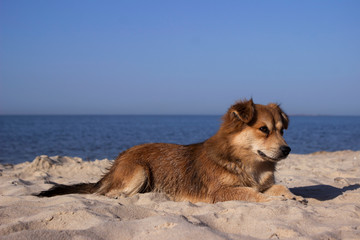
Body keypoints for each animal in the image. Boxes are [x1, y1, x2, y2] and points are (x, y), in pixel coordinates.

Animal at [36, 98, 302, 203]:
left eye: (282, 130)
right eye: (263, 129)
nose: (287, 150)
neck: (246, 162)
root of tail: (117, 161)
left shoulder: (264, 183)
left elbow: (279, 187)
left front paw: (293, 196)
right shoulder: (221, 192)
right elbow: (254, 194)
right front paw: (276, 201)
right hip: (139, 169)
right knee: (107, 194)